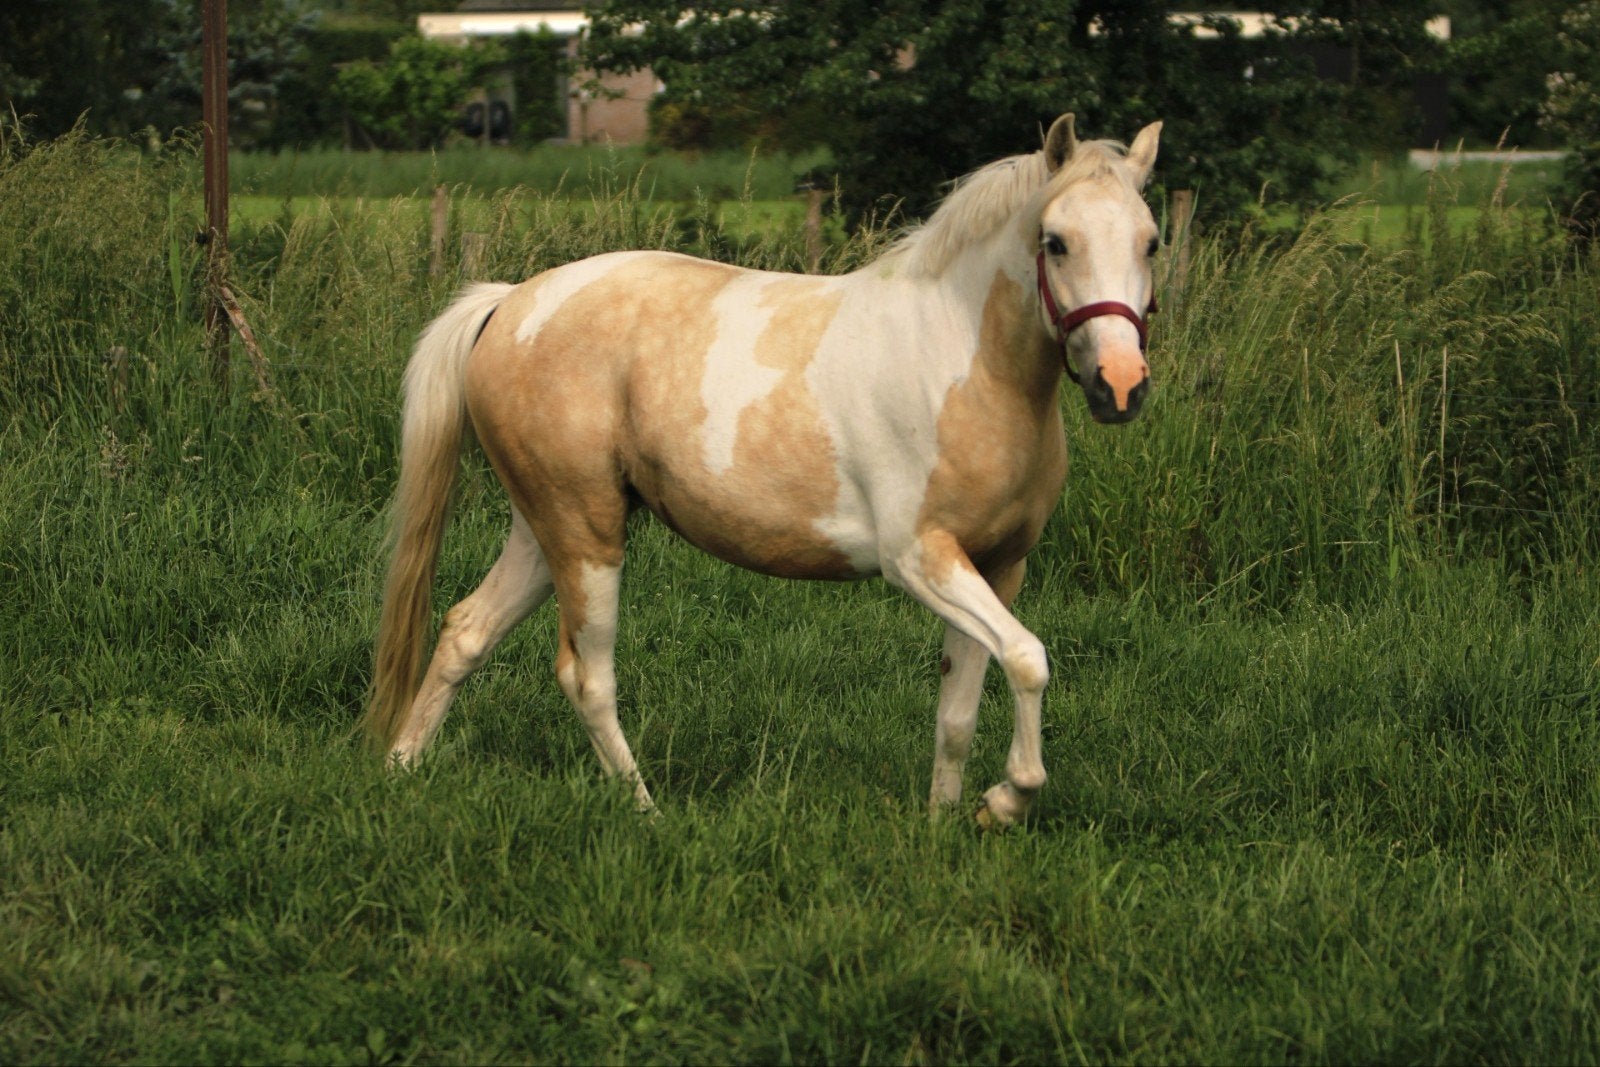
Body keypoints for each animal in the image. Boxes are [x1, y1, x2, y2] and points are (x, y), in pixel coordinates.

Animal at [363, 113, 1163, 828]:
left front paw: (944, 823)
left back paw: (399, 769)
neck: (962, 359)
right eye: (1055, 241)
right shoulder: (920, 560)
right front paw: (1006, 801)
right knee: (586, 674)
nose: (1121, 386)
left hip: (545, 528)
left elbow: (959, 710)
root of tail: (508, 304)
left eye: (1151, 241)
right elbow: (1028, 659)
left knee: (465, 630)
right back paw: (645, 810)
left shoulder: (997, 565)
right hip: (585, 534)